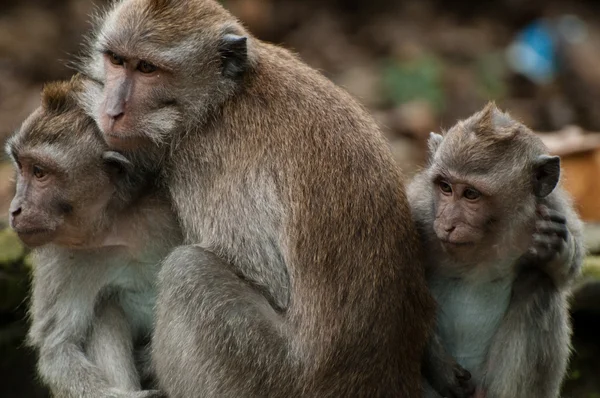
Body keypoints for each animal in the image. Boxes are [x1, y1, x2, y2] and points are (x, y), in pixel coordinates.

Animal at [5, 75, 180, 398]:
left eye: (40, 172)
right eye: (21, 167)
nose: (15, 208)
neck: (113, 224)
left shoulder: (161, 213)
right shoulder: (59, 255)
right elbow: (59, 347)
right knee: (105, 308)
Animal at [77, 0, 438, 394]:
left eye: (147, 68)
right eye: (116, 60)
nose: (111, 111)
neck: (219, 103)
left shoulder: (206, 163)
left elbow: (264, 276)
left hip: (268, 373)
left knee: (189, 271)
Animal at [410, 103, 584, 398]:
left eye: (471, 194)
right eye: (445, 187)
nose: (447, 224)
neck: (485, 239)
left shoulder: (548, 207)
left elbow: (568, 270)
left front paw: (560, 247)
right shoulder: (419, 210)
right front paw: (439, 365)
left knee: (539, 284)